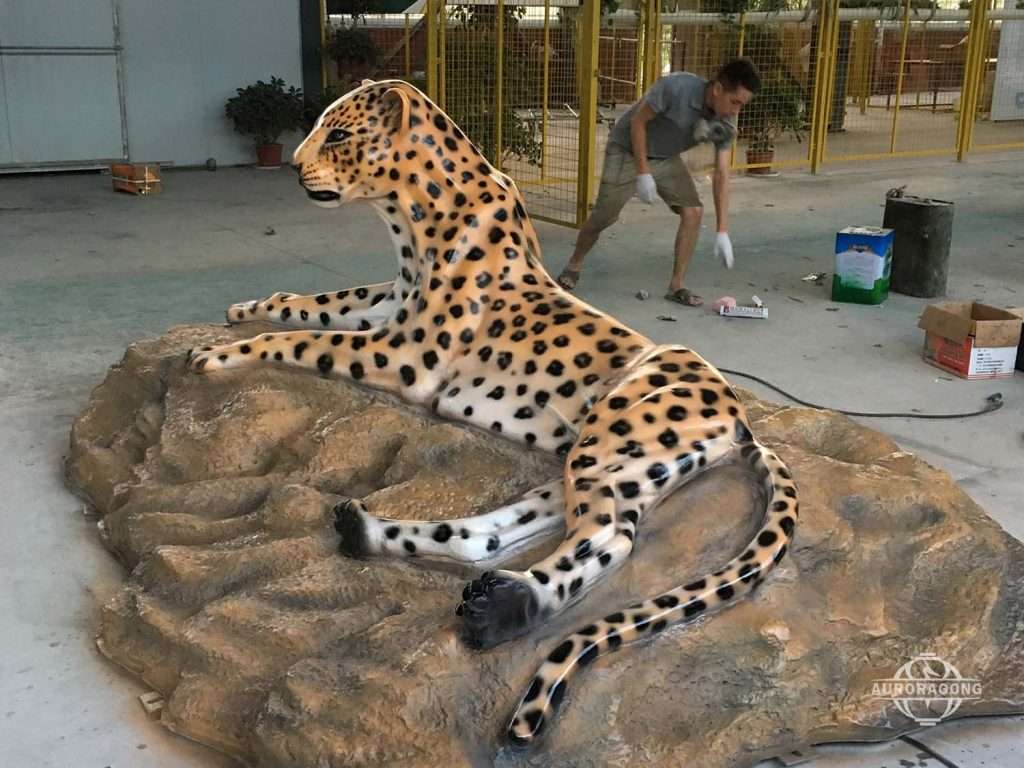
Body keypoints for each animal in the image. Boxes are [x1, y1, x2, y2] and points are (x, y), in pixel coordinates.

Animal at [186, 79, 798, 748]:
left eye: (340, 133)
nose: (295, 167)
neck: (413, 216)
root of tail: (743, 417)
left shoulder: (404, 353)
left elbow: (302, 340)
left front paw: (219, 352)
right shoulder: (384, 305)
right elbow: (313, 302)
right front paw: (247, 308)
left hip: (609, 443)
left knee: (610, 539)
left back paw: (508, 608)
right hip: (606, 464)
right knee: (503, 535)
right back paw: (370, 533)